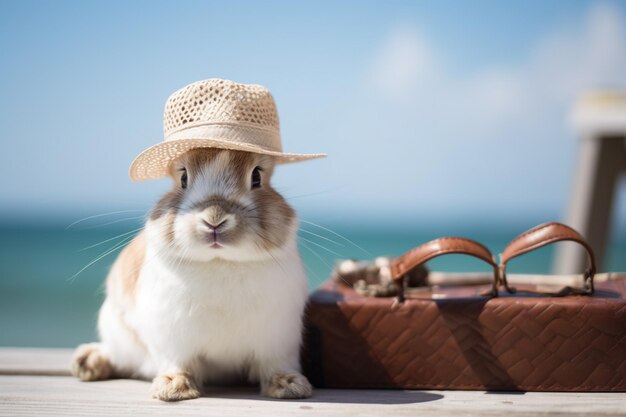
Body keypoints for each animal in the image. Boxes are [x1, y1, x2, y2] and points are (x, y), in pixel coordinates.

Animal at [72, 147, 312, 400]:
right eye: (183, 178)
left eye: (257, 176)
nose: (214, 219)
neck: (220, 261)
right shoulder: (173, 340)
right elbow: (180, 363)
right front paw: (173, 388)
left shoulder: (279, 340)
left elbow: (275, 364)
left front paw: (290, 385)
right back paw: (87, 362)